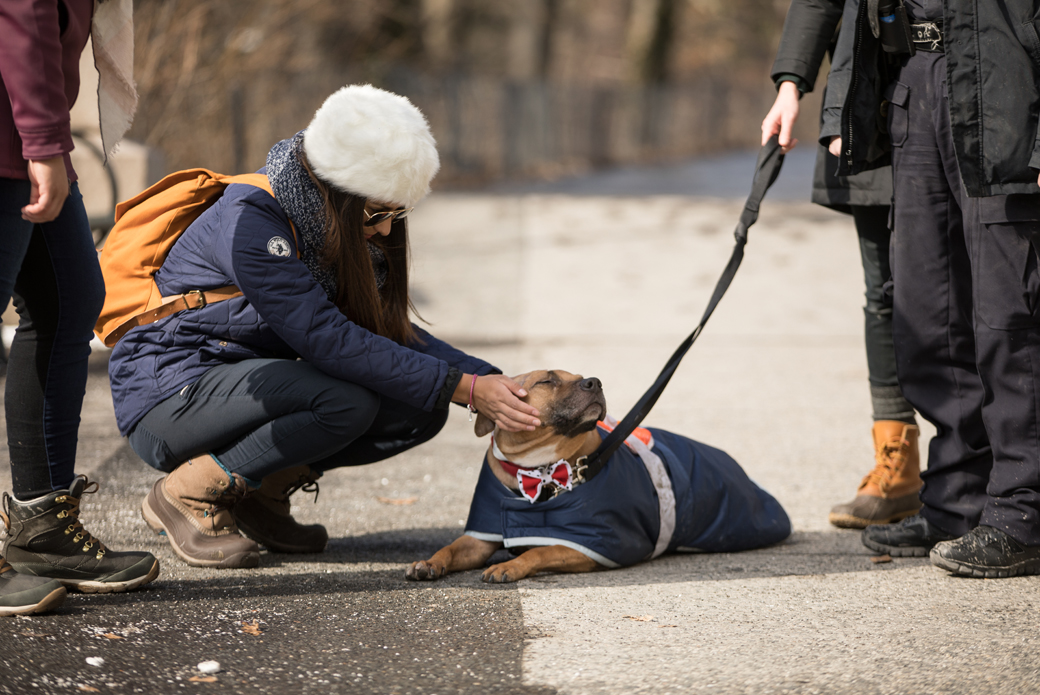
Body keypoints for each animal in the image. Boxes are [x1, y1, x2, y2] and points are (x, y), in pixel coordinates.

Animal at [405, 368, 603, 582]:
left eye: (581, 377)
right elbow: (448, 549)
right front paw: (430, 562)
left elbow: (539, 552)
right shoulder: (480, 538)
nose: (595, 382)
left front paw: (509, 566)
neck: (538, 468)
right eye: (546, 381)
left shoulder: (586, 544)